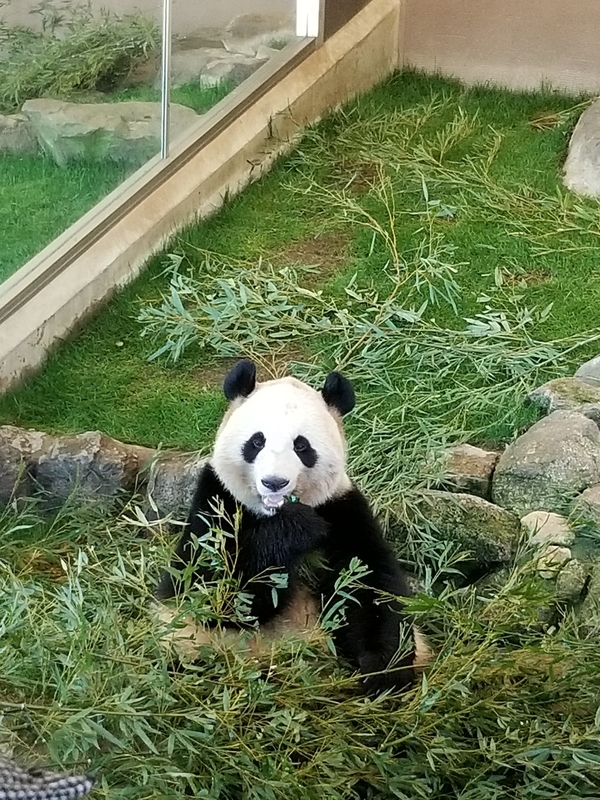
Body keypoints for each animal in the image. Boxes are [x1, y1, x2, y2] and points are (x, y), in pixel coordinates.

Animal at [154, 359, 429, 696]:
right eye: (256, 442)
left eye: (301, 446)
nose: (275, 482)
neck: (271, 513)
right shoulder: (216, 501)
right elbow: (210, 592)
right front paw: (296, 529)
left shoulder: (343, 510)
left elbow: (370, 586)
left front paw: (384, 672)